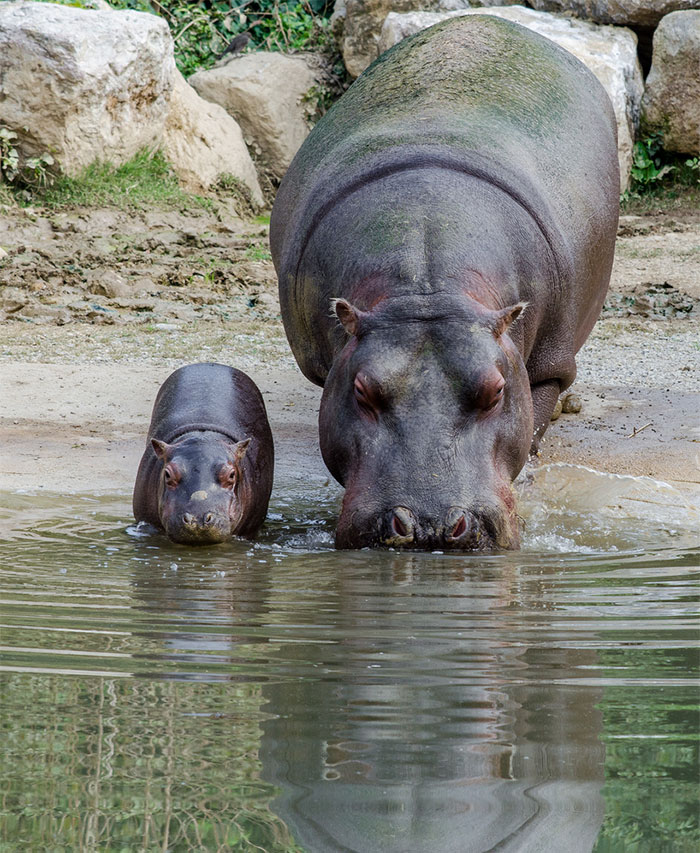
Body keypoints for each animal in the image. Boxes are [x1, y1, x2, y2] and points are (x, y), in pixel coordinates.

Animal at [268, 15, 616, 552]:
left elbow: (532, 427)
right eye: (363, 390)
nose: (429, 523)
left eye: (496, 390)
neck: (428, 290)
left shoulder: (547, 366)